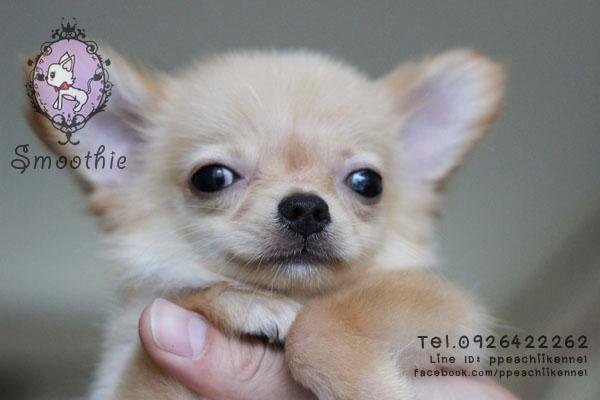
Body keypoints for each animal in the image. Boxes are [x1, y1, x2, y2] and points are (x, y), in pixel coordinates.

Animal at [27, 47, 505, 399]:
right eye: (212, 177)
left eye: (368, 183)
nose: (306, 207)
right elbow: (171, 317)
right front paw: (246, 303)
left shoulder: (449, 315)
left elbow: (318, 324)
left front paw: (368, 387)